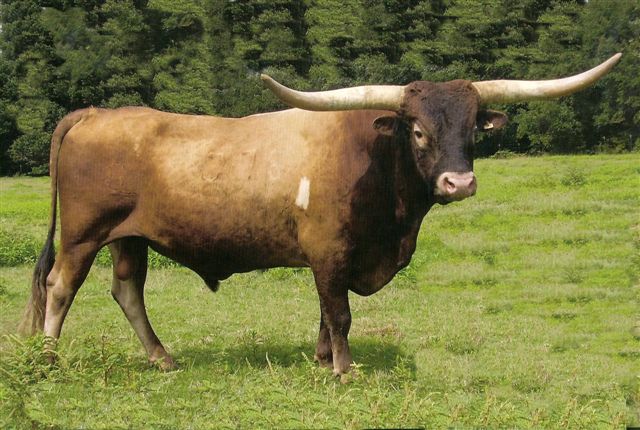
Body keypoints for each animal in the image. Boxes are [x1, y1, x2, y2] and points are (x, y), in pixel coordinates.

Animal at [20, 54, 621, 377]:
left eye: (472, 127)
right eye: (417, 130)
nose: (460, 183)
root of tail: (95, 112)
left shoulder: (338, 256)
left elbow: (327, 312)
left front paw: (320, 357)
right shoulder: (329, 250)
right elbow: (341, 312)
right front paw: (344, 369)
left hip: (131, 236)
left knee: (126, 290)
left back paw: (162, 358)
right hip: (83, 233)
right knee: (60, 286)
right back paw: (48, 359)